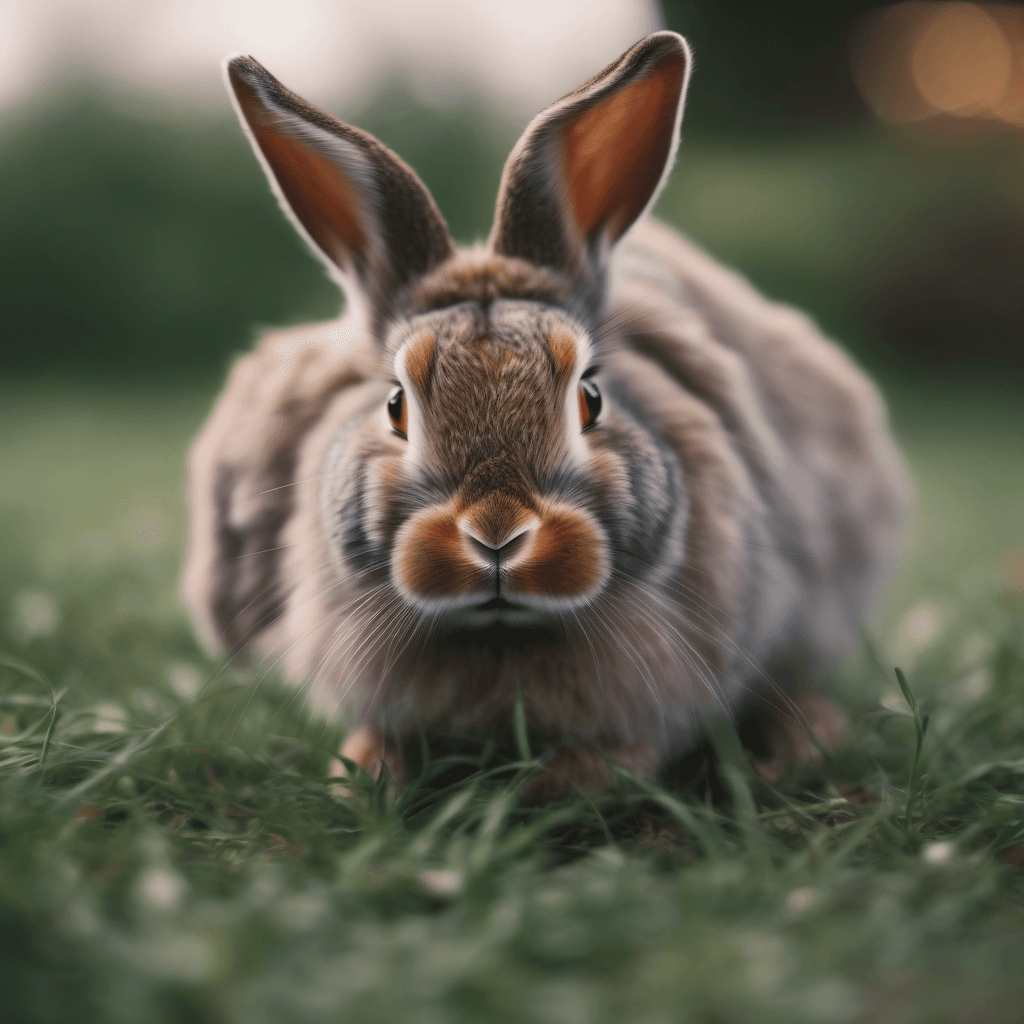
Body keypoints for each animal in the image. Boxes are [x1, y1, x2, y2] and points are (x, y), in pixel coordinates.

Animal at [181, 31, 908, 797]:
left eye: (590, 397)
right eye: (396, 406)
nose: (497, 537)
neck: (504, 637)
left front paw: (556, 783)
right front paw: (367, 774)